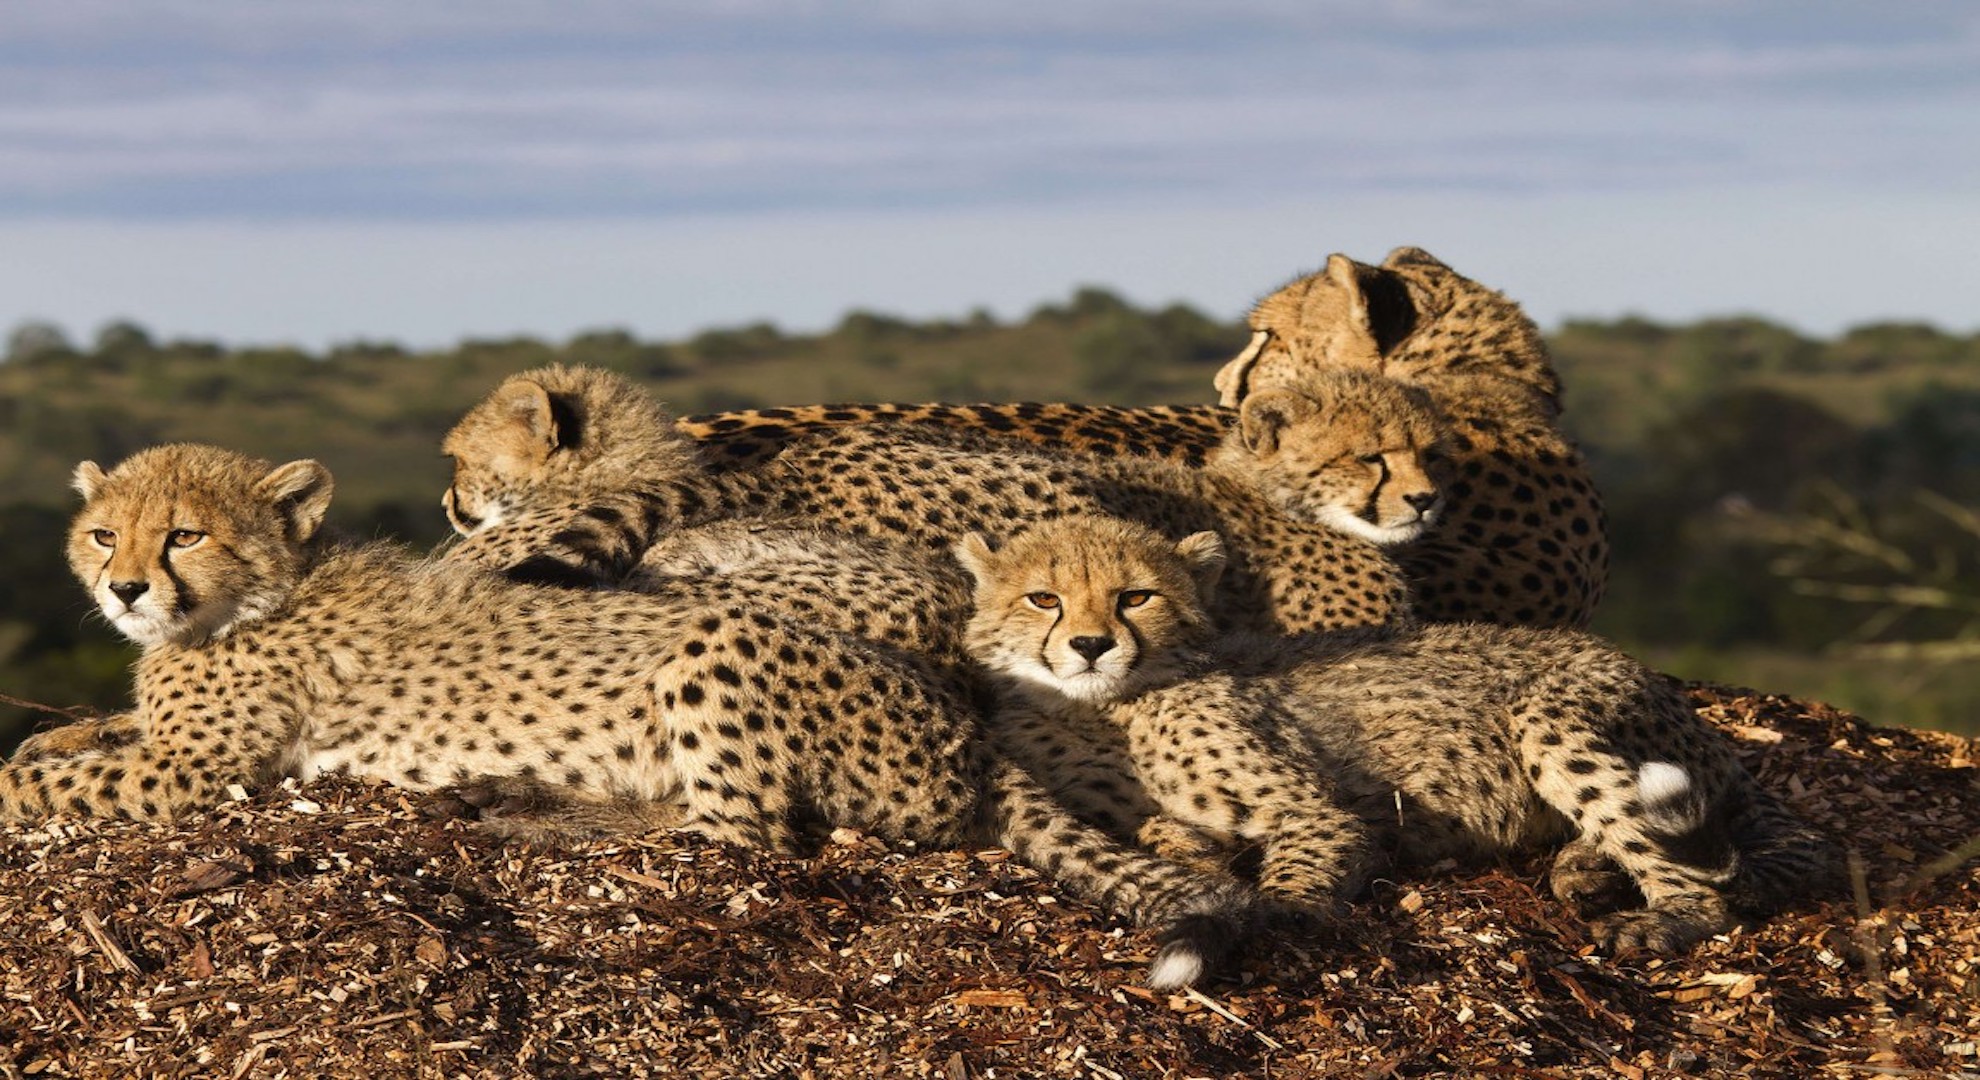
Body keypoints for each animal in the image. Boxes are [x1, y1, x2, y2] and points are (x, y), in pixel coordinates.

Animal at [958, 515, 1837, 951]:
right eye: (1043, 598)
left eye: (1135, 596)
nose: (1089, 645)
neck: (1104, 708)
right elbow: (1167, 832)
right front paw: (1189, 850)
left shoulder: (1318, 810)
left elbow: (1304, 864)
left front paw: (1277, 910)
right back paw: (1585, 870)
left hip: (1551, 713)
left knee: (1702, 889)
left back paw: (1655, 917)